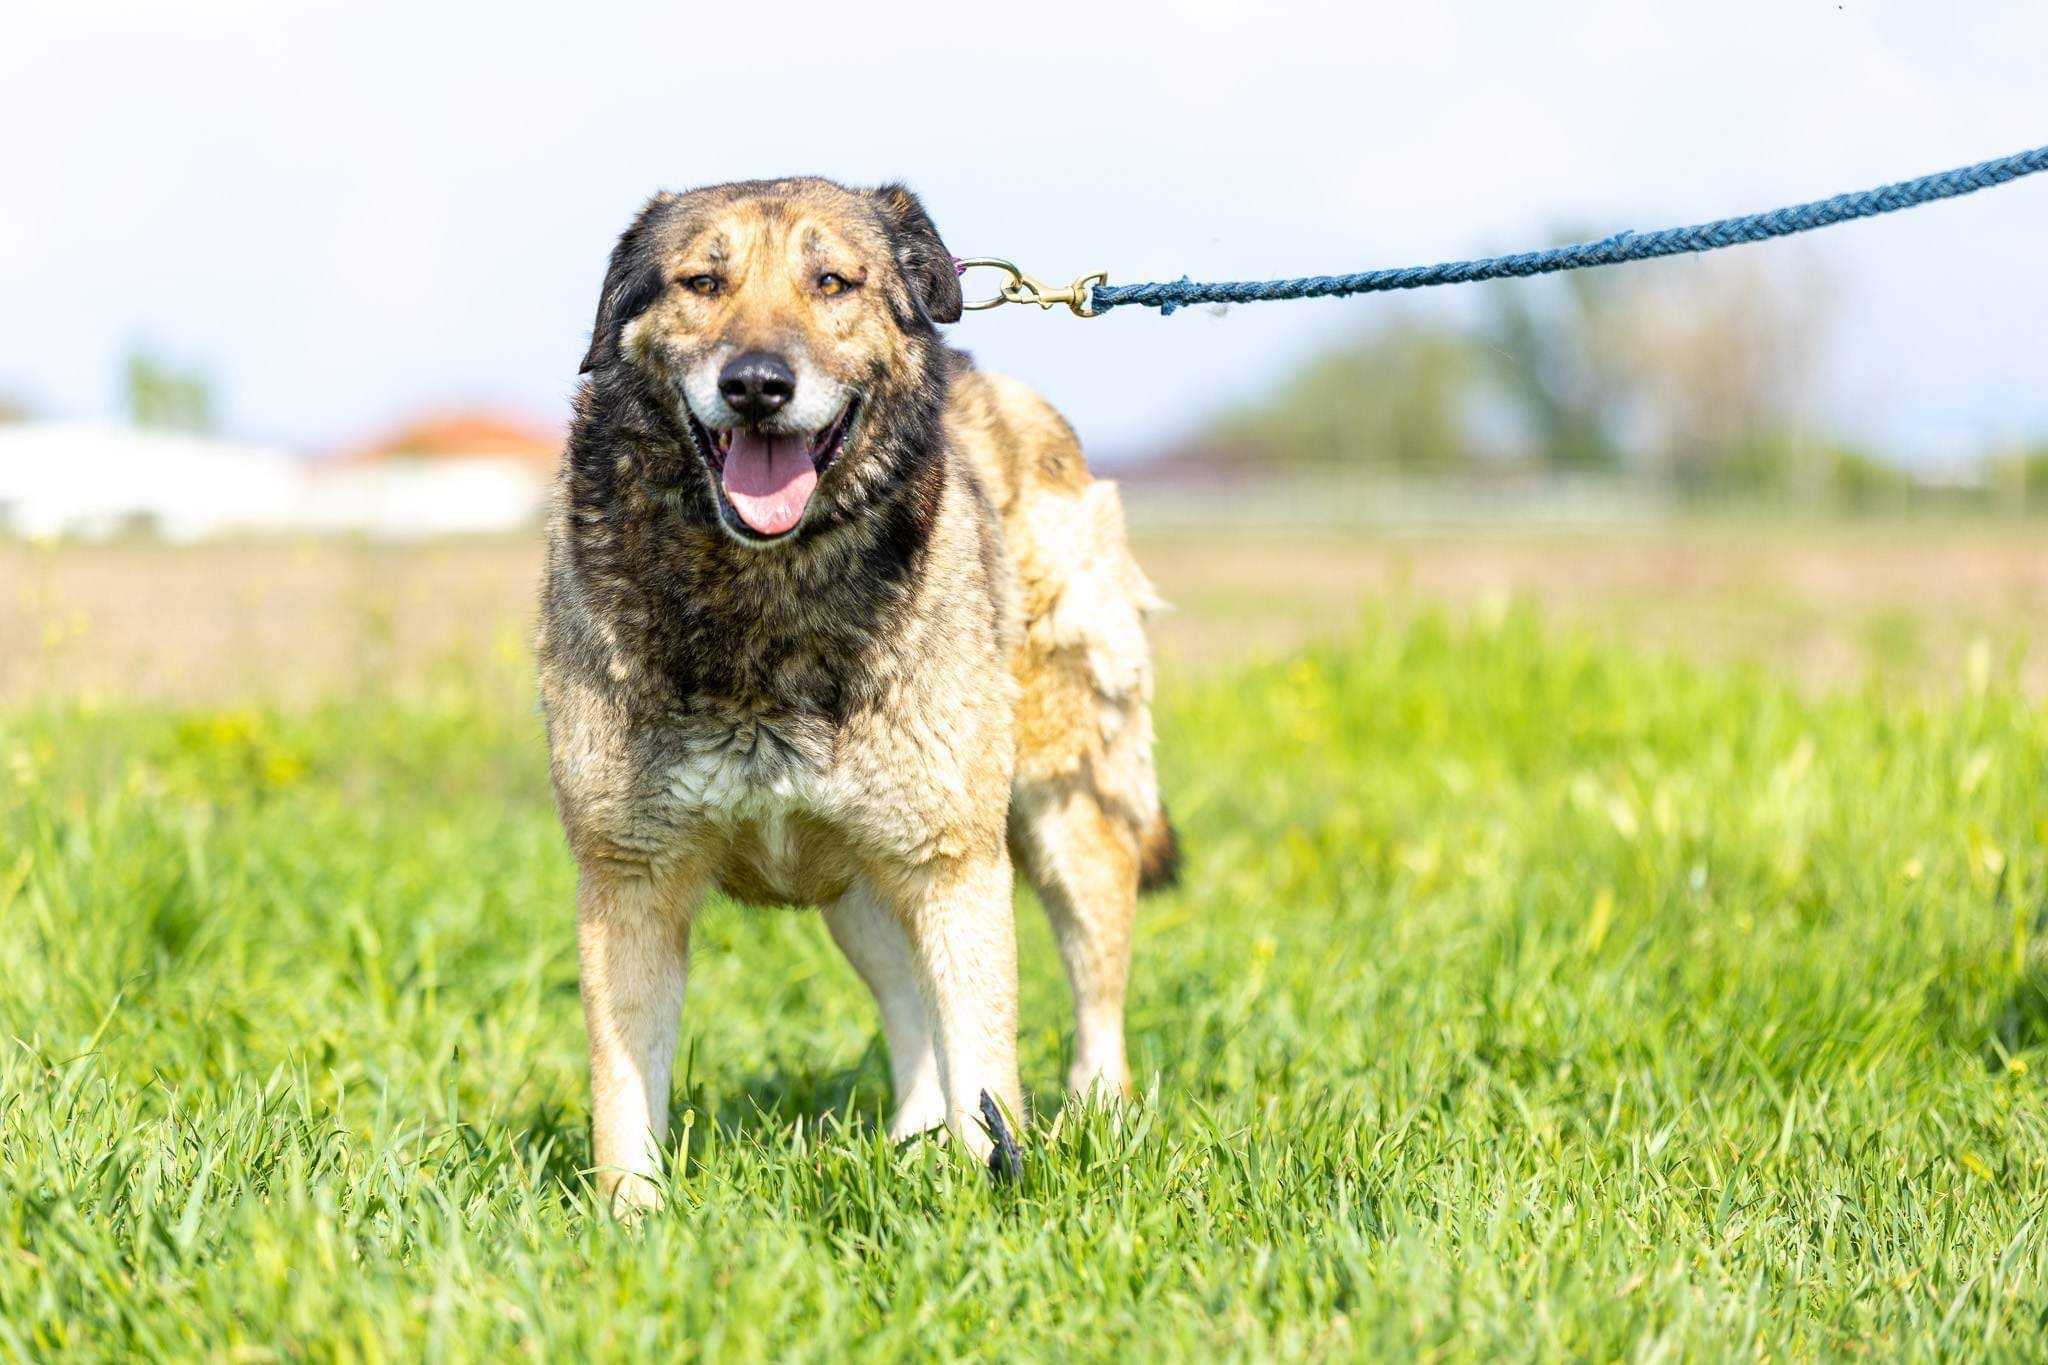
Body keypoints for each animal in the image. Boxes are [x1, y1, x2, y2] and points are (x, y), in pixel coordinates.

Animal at [544, 175, 1179, 1211]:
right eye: (702, 283)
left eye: (833, 282)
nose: (757, 385)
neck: (766, 592)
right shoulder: (629, 875)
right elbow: (623, 1097)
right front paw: (630, 1223)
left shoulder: (956, 864)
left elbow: (987, 1065)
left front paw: (992, 1194)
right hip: (862, 877)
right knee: (911, 1010)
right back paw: (912, 1146)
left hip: (1061, 816)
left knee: (1096, 993)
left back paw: (1097, 1118)